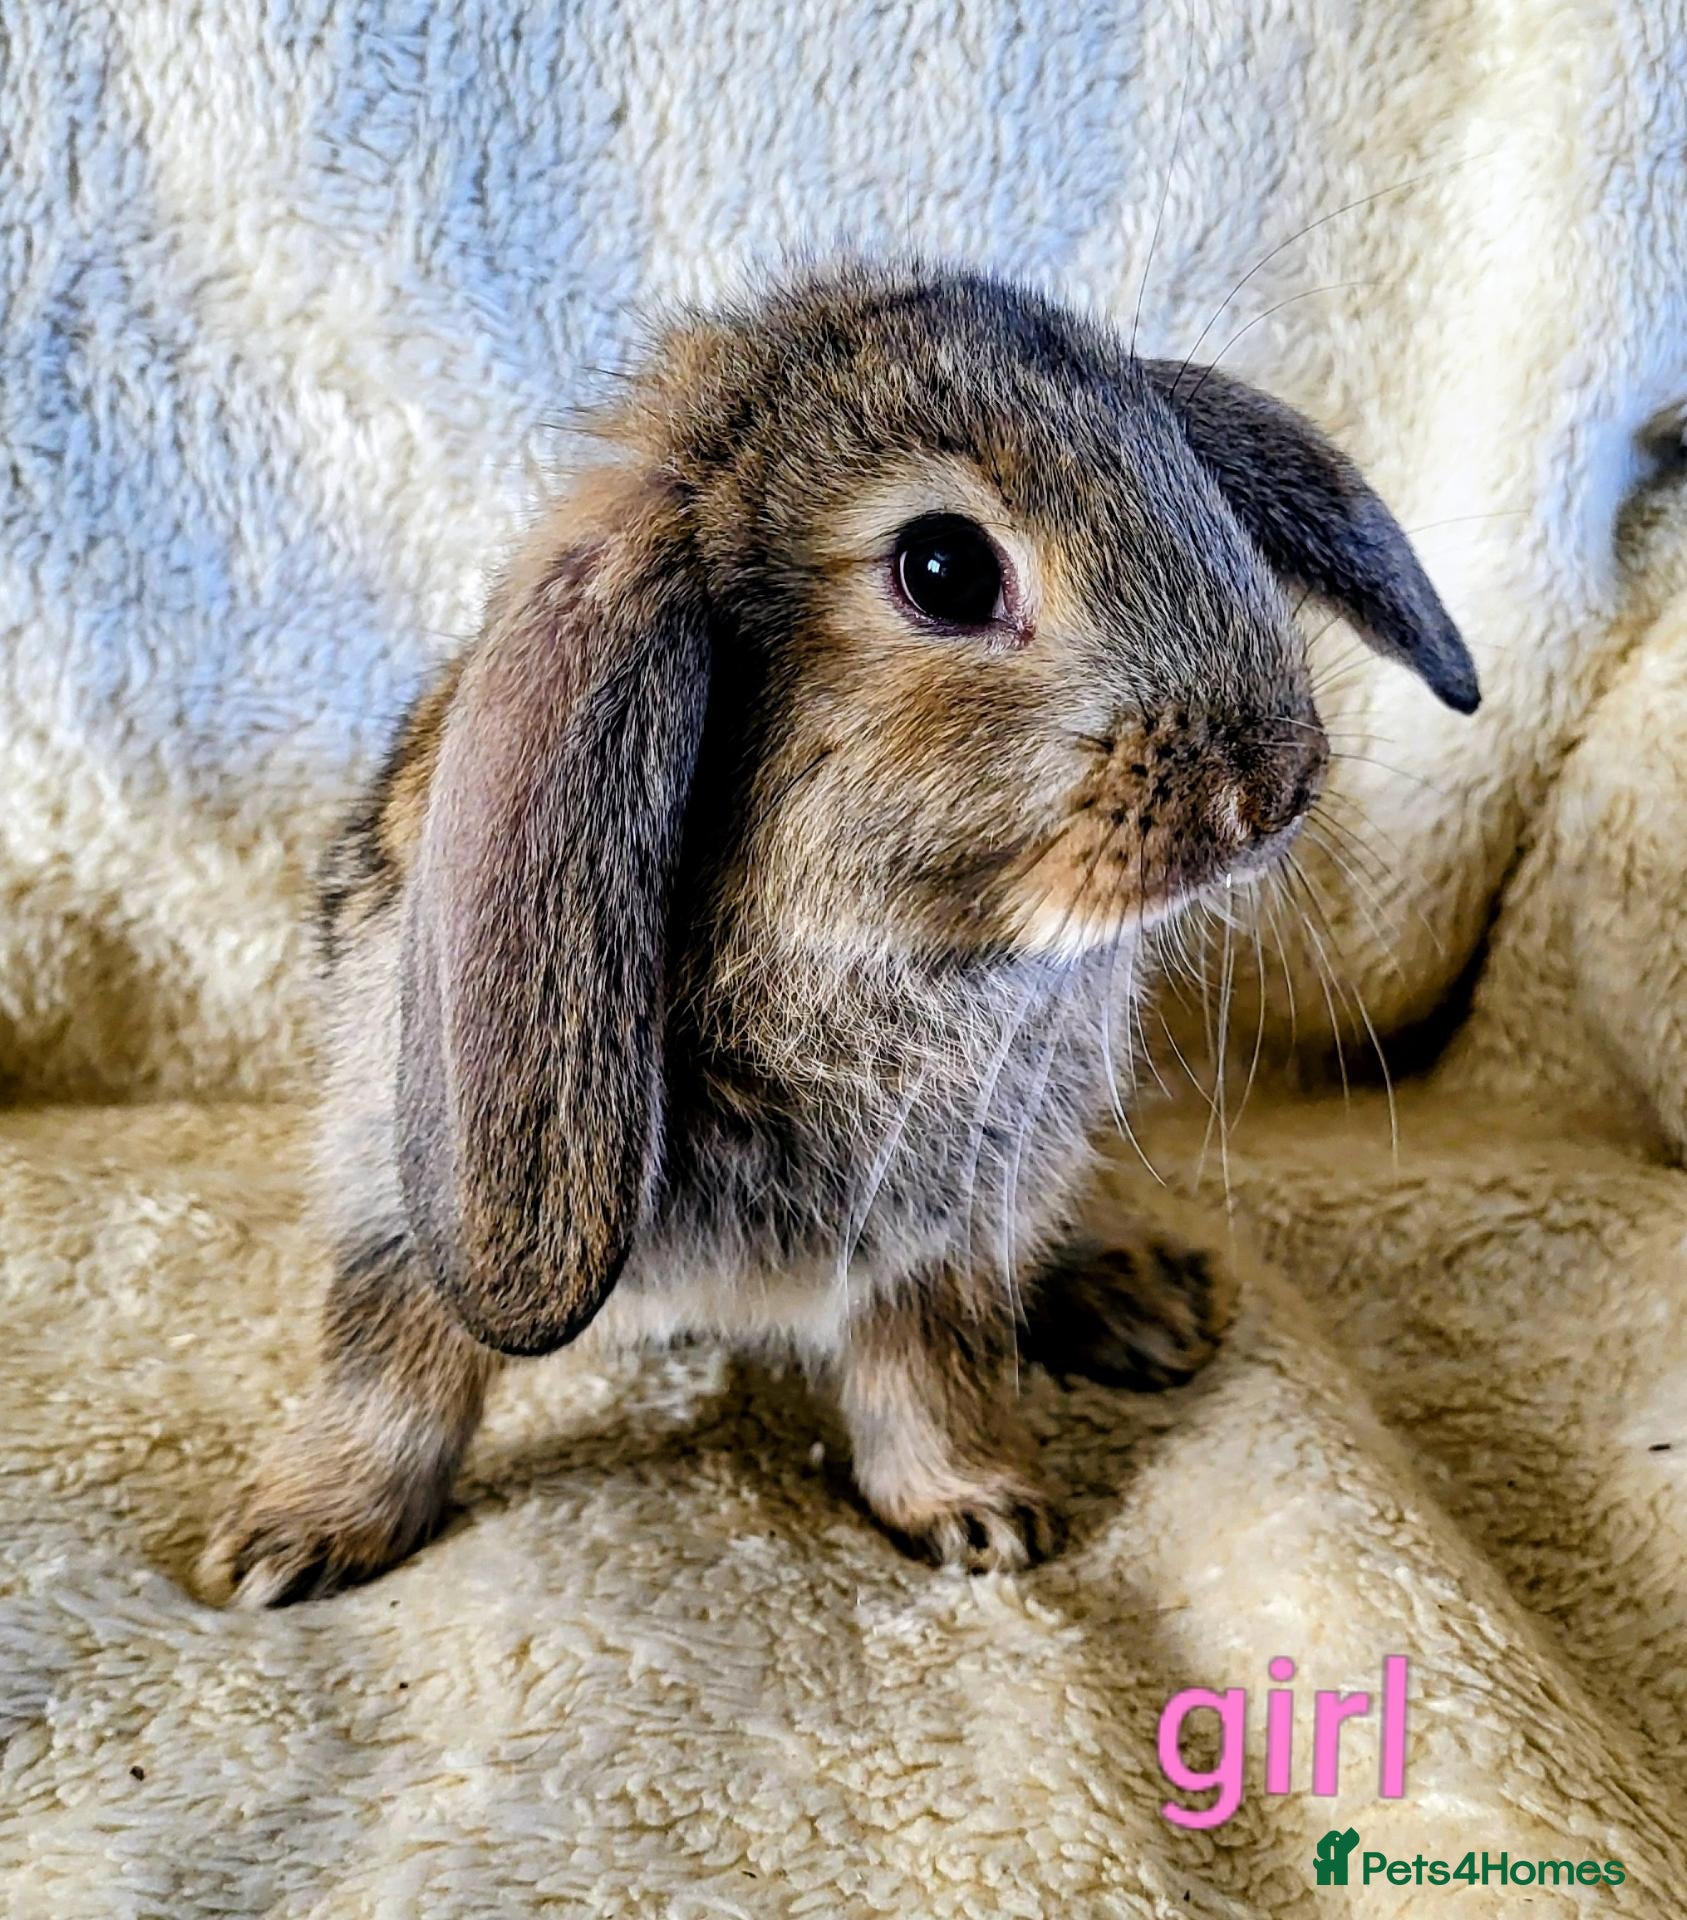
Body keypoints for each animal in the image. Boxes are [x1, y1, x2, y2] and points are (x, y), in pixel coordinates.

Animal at [198, 260, 1477, 1606]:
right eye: (943, 569)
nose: (1274, 785)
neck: (883, 951)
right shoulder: (400, 1196)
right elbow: (394, 1365)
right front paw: (289, 1545)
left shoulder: (945, 1238)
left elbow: (932, 1373)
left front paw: (980, 1518)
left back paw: (1146, 1304)